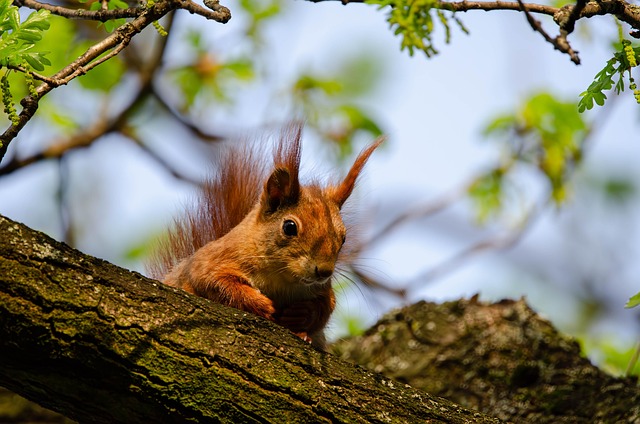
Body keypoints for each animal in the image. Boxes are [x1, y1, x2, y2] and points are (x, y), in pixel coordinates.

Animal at [147, 123, 382, 349]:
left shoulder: (323, 290)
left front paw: (302, 313)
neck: (282, 278)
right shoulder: (210, 261)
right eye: (289, 227)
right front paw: (261, 304)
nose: (324, 271)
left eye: (343, 238)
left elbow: (326, 307)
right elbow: (214, 281)